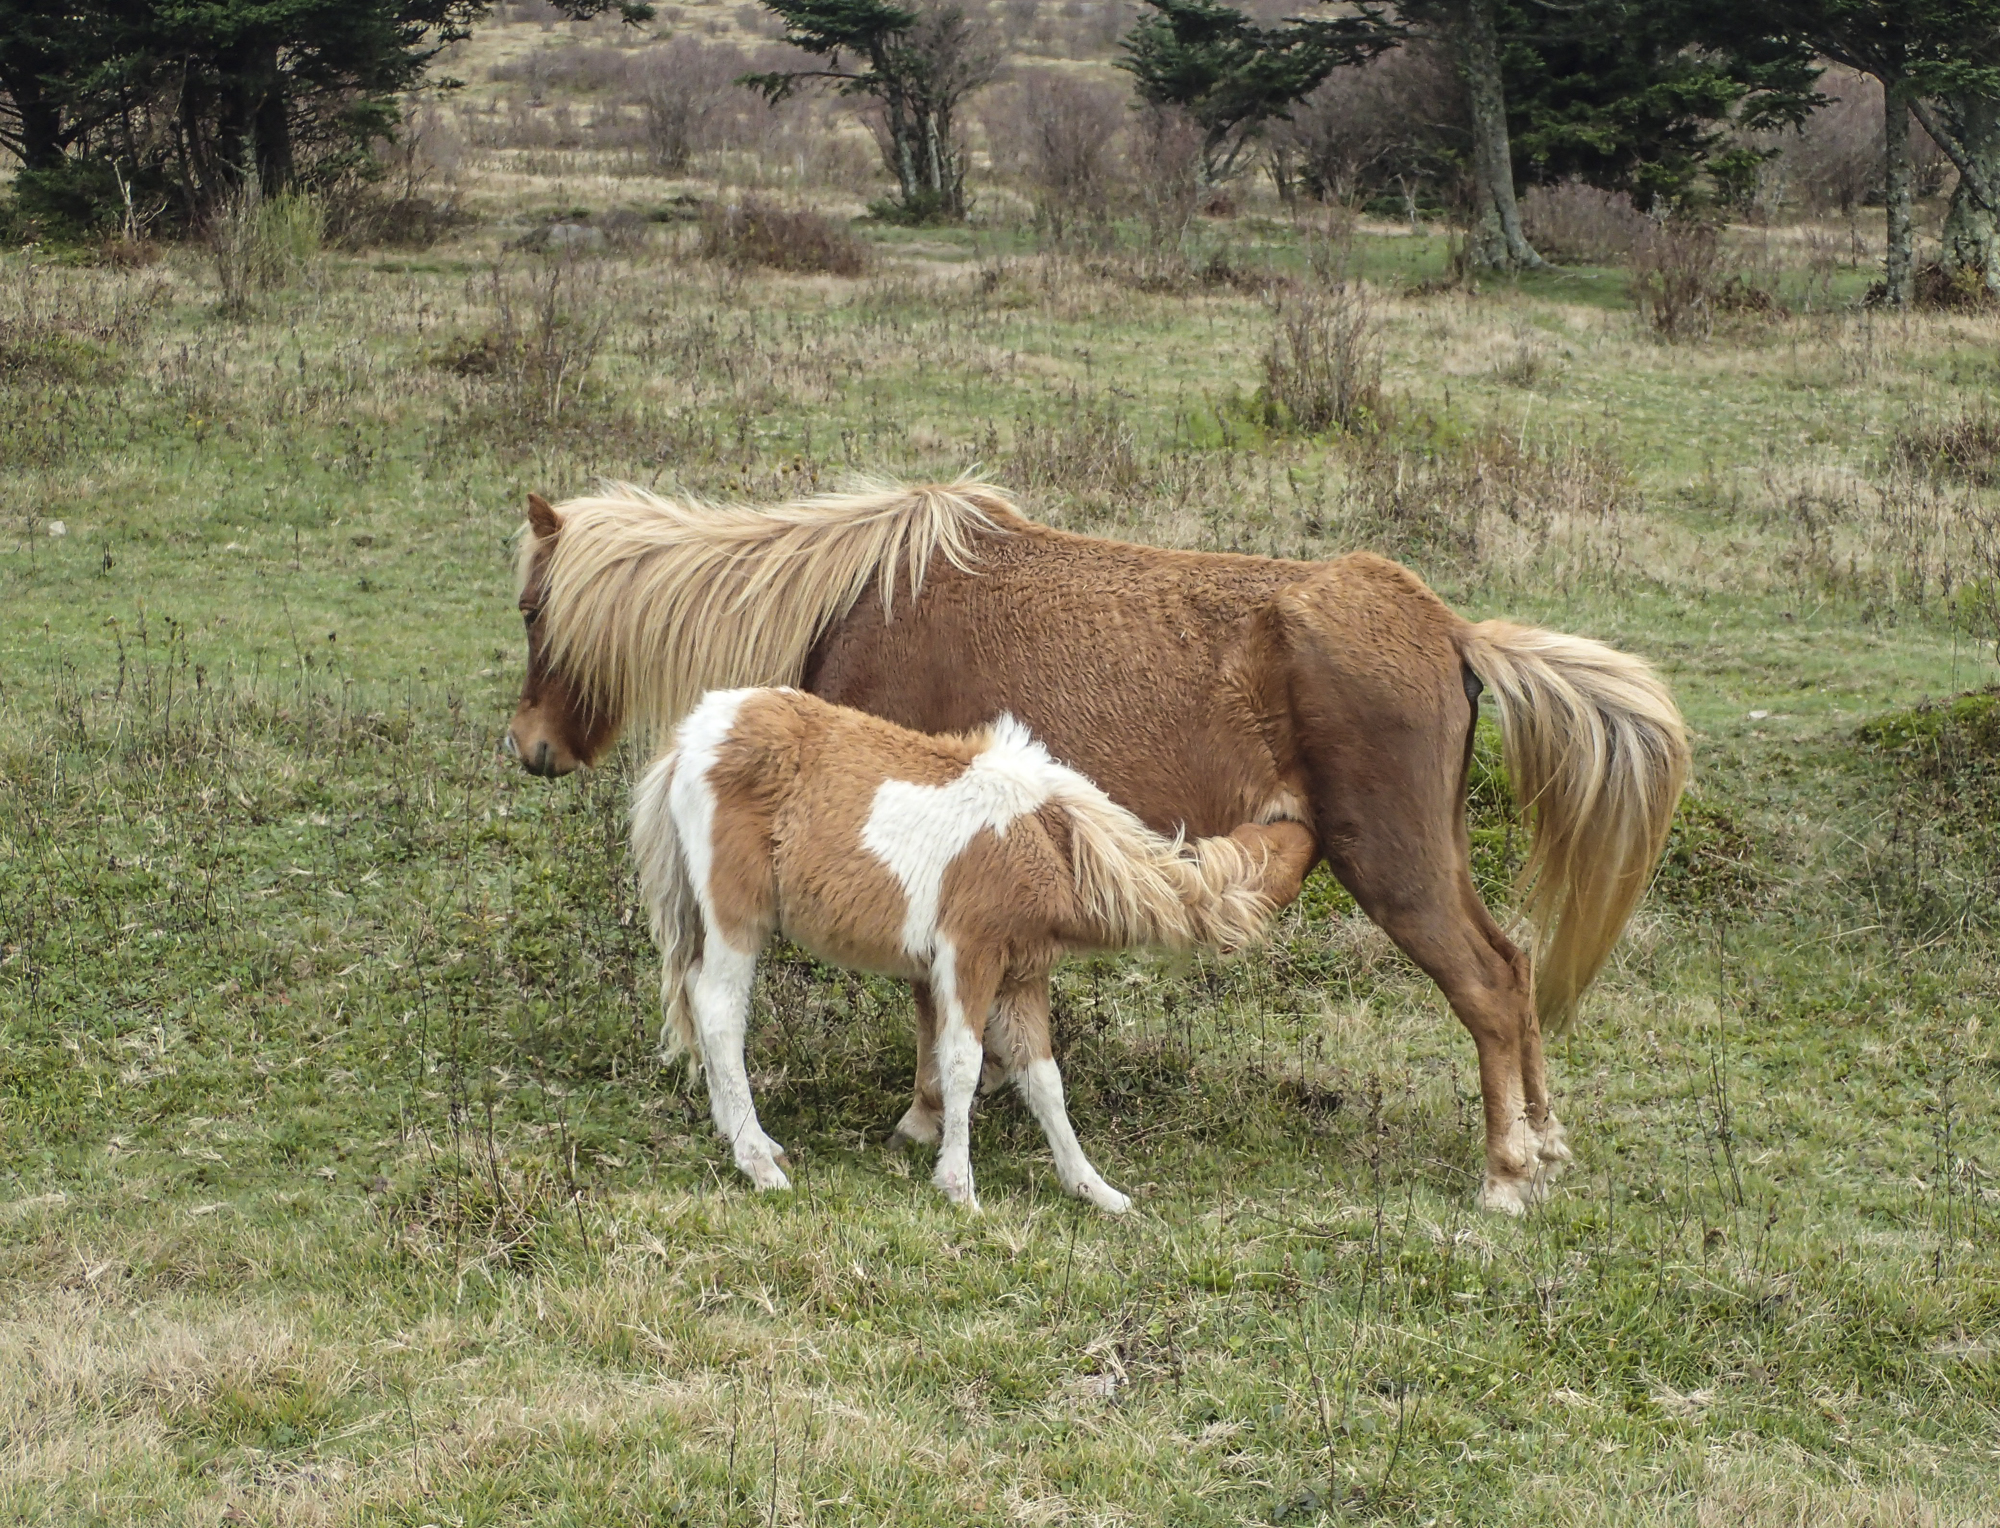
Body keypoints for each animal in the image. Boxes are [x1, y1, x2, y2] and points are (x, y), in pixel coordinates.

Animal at [629, 685, 1316, 1212]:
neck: (1052, 844)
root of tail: (695, 734)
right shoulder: (968, 956)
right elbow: (962, 1060)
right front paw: (959, 1187)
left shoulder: (1023, 975)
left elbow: (1043, 1079)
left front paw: (1095, 1190)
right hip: (735, 912)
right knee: (719, 1012)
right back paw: (757, 1162)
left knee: (697, 1000)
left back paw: (745, 1138)